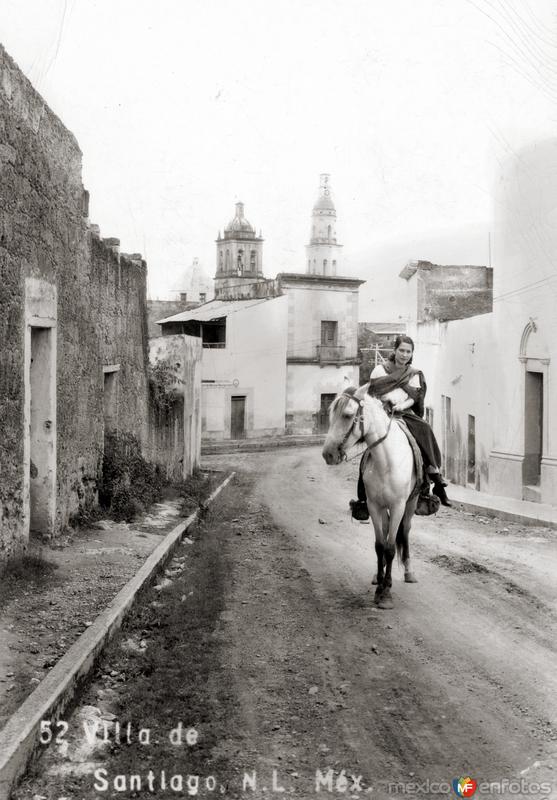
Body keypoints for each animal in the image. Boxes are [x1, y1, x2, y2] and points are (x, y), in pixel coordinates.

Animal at [322, 384, 416, 608]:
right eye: (331, 414)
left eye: (348, 415)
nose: (327, 454)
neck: (386, 461)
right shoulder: (374, 505)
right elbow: (379, 545)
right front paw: (380, 586)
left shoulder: (398, 505)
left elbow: (390, 548)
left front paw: (386, 593)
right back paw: (376, 576)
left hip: (411, 504)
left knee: (405, 531)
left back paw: (409, 571)